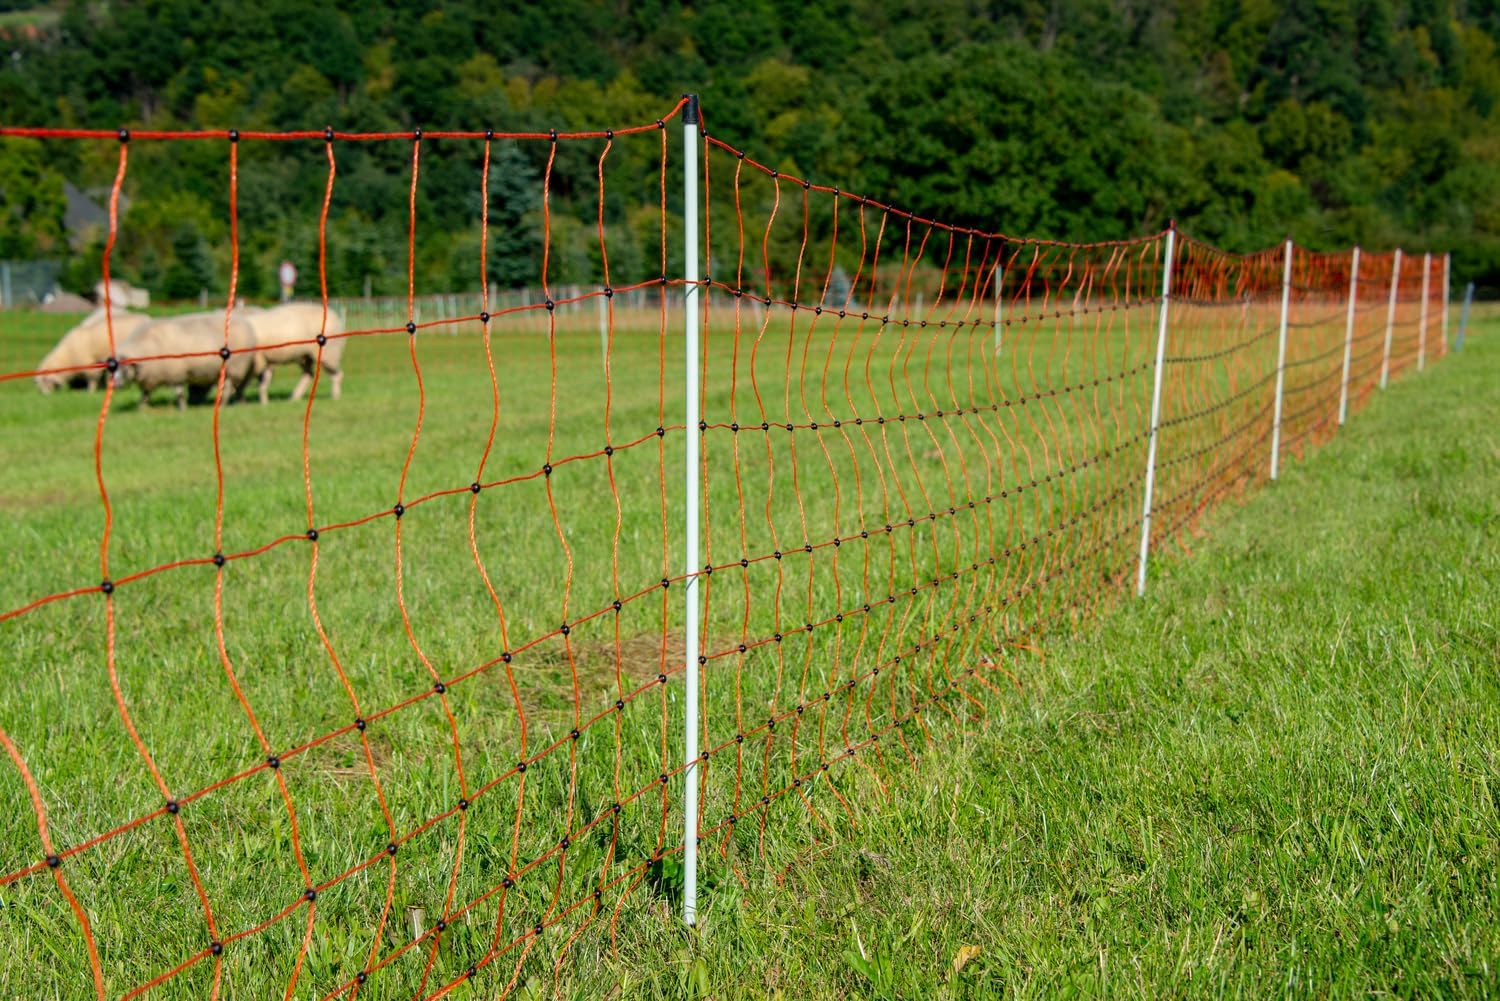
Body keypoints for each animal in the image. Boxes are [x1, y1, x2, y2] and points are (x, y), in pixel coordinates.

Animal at [112, 312, 259, 409]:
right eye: (113, 368)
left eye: (125, 368)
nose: (116, 384)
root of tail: (245, 323)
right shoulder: (150, 376)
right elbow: (144, 394)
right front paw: (142, 408)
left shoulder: (176, 373)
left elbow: (179, 392)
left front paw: (182, 408)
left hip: (234, 368)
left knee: (228, 388)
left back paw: (222, 404)